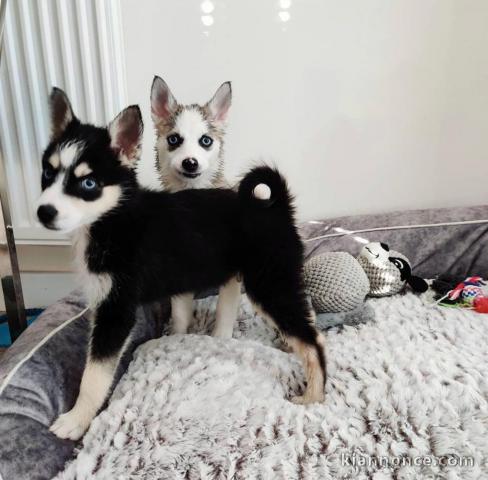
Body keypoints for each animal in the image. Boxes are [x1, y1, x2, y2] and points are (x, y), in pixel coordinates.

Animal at [151, 76, 238, 338]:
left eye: (205, 141)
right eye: (174, 140)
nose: (190, 162)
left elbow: (225, 311)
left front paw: (221, 339)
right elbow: (180, 313)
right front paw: (176, 337)